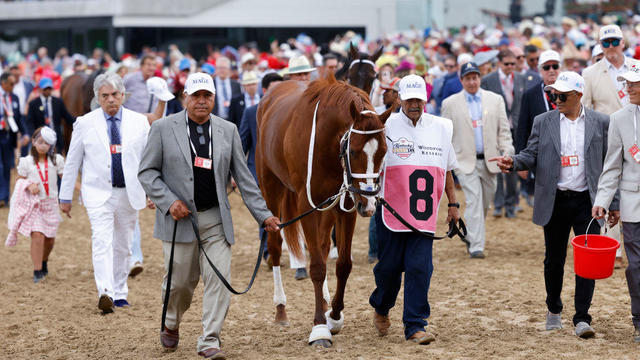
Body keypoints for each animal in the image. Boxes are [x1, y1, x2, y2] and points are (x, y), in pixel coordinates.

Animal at [256, 75, 396, 346]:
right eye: (354, 151)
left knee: (320, 245)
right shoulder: (307, 205)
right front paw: (320, 327)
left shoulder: (347, 205)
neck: (326, 141)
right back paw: (281, 309)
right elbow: (318, 267)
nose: (369, 203)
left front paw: (334, 316)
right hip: (271, 188)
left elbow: (343, 264)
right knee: (276, 246)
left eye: (384, 151)